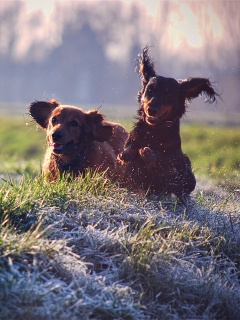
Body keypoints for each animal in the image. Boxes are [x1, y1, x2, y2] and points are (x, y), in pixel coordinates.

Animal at [117, 46, 218, 199]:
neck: (154, 131)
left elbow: (164, 163)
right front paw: (128, 154)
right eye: (150, 89)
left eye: (169, 94)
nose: (152, 110)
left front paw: (148, 153)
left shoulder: (174, 165)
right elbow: (129, 153)